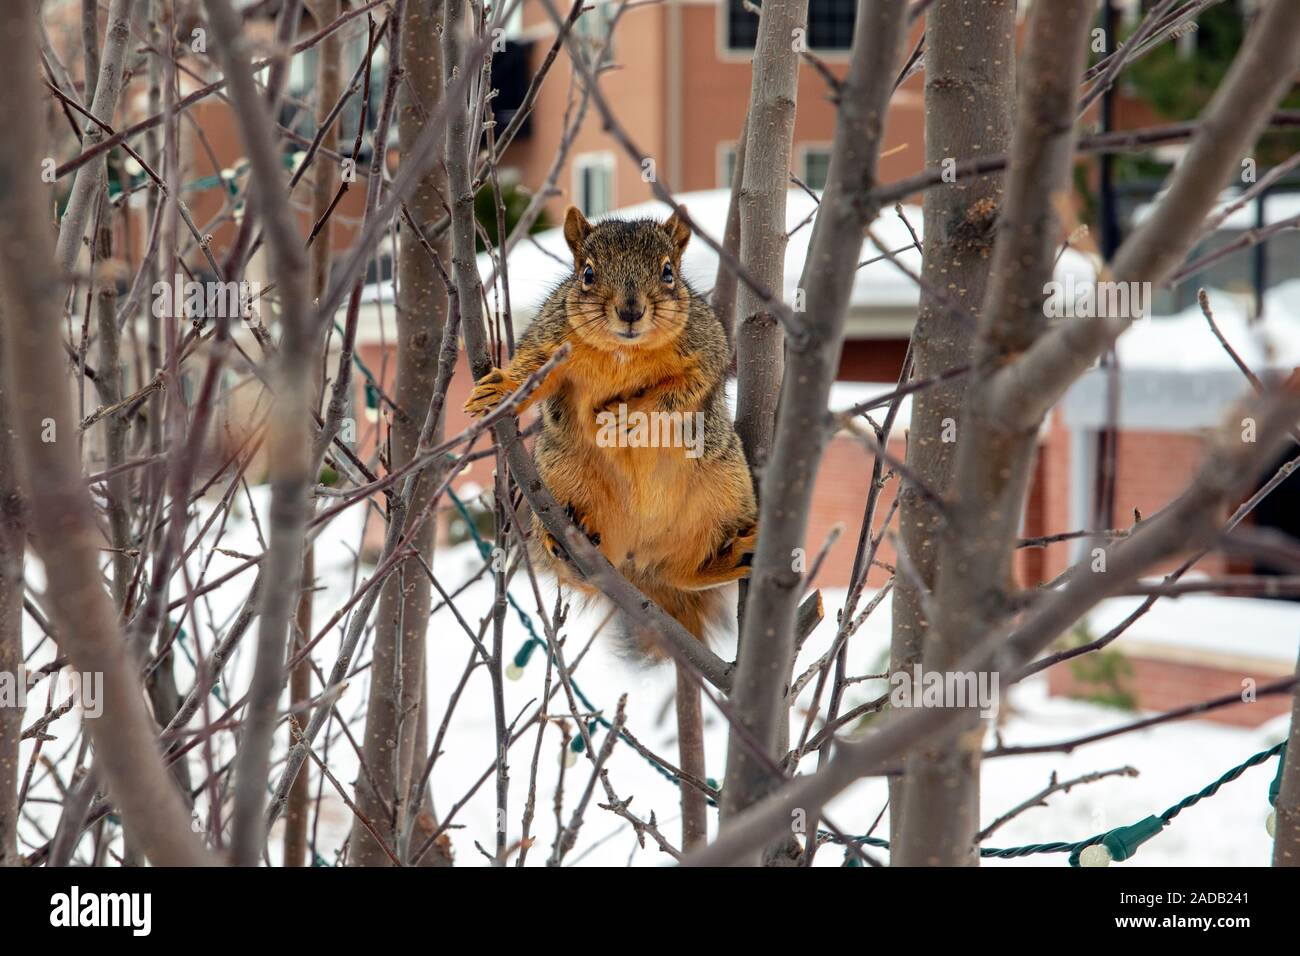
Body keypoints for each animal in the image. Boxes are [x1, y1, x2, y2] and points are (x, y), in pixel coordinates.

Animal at [464, 206, 758, 655]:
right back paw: (567, 549)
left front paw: (625, 417)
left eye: (668, 272)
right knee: (587, 574)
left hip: (725, 491)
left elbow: (680, 391)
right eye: (587, 273)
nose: (630, 311)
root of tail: (634, 558)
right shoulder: (552, 338)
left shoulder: (706, 351)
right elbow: (532, 369)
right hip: (562, 477)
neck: (625, 350)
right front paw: (499, 389)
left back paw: (728, 558)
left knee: (679, 572)